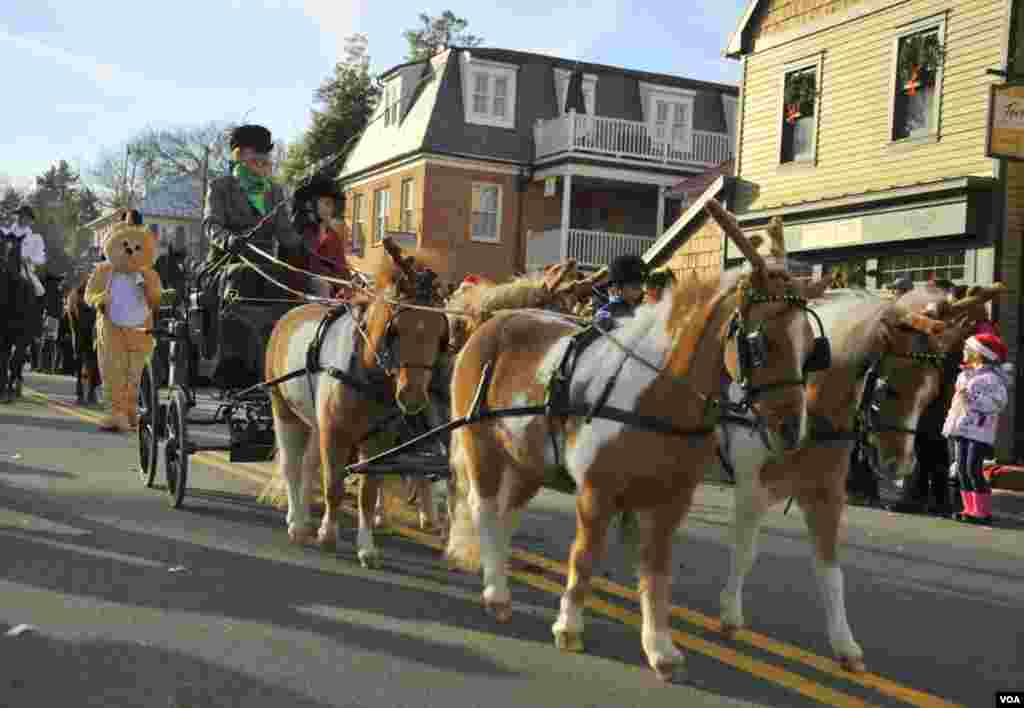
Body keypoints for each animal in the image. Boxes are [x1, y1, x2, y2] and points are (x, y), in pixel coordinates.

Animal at [266, 240, 450, 569]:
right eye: (396, 328)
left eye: (438, 332)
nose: (413, 396)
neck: (365, 370)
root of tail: (292, 312)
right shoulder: (334, 434)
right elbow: (333, 485)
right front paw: (328, 535)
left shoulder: (376, 441)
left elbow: (367, 493)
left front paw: (366, 549)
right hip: (283, 409)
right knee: (291, 465)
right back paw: (297, 523)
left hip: (315, 422)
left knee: (308, 465)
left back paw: (304, 519)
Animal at [444, 200, 827, 680]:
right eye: (761, 343)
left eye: (811, 346)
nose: (791, 430)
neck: (655, 394)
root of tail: (491, 324)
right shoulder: (596, 493)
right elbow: (585, 556)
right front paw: (569, 627)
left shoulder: (669, 503)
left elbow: (655, 570)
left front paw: (660, 647)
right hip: (480, 445)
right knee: (483, 509)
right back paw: (495, 593)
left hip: (527, 462)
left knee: (505, 514)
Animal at [712, 282, 983, 672]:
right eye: (888, 388)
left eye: (931, 395)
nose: (899, 465)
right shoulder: (752, 489)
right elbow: (745, 552)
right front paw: (730, 616)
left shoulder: (825, 496)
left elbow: (831, 572)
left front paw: (845, 646)